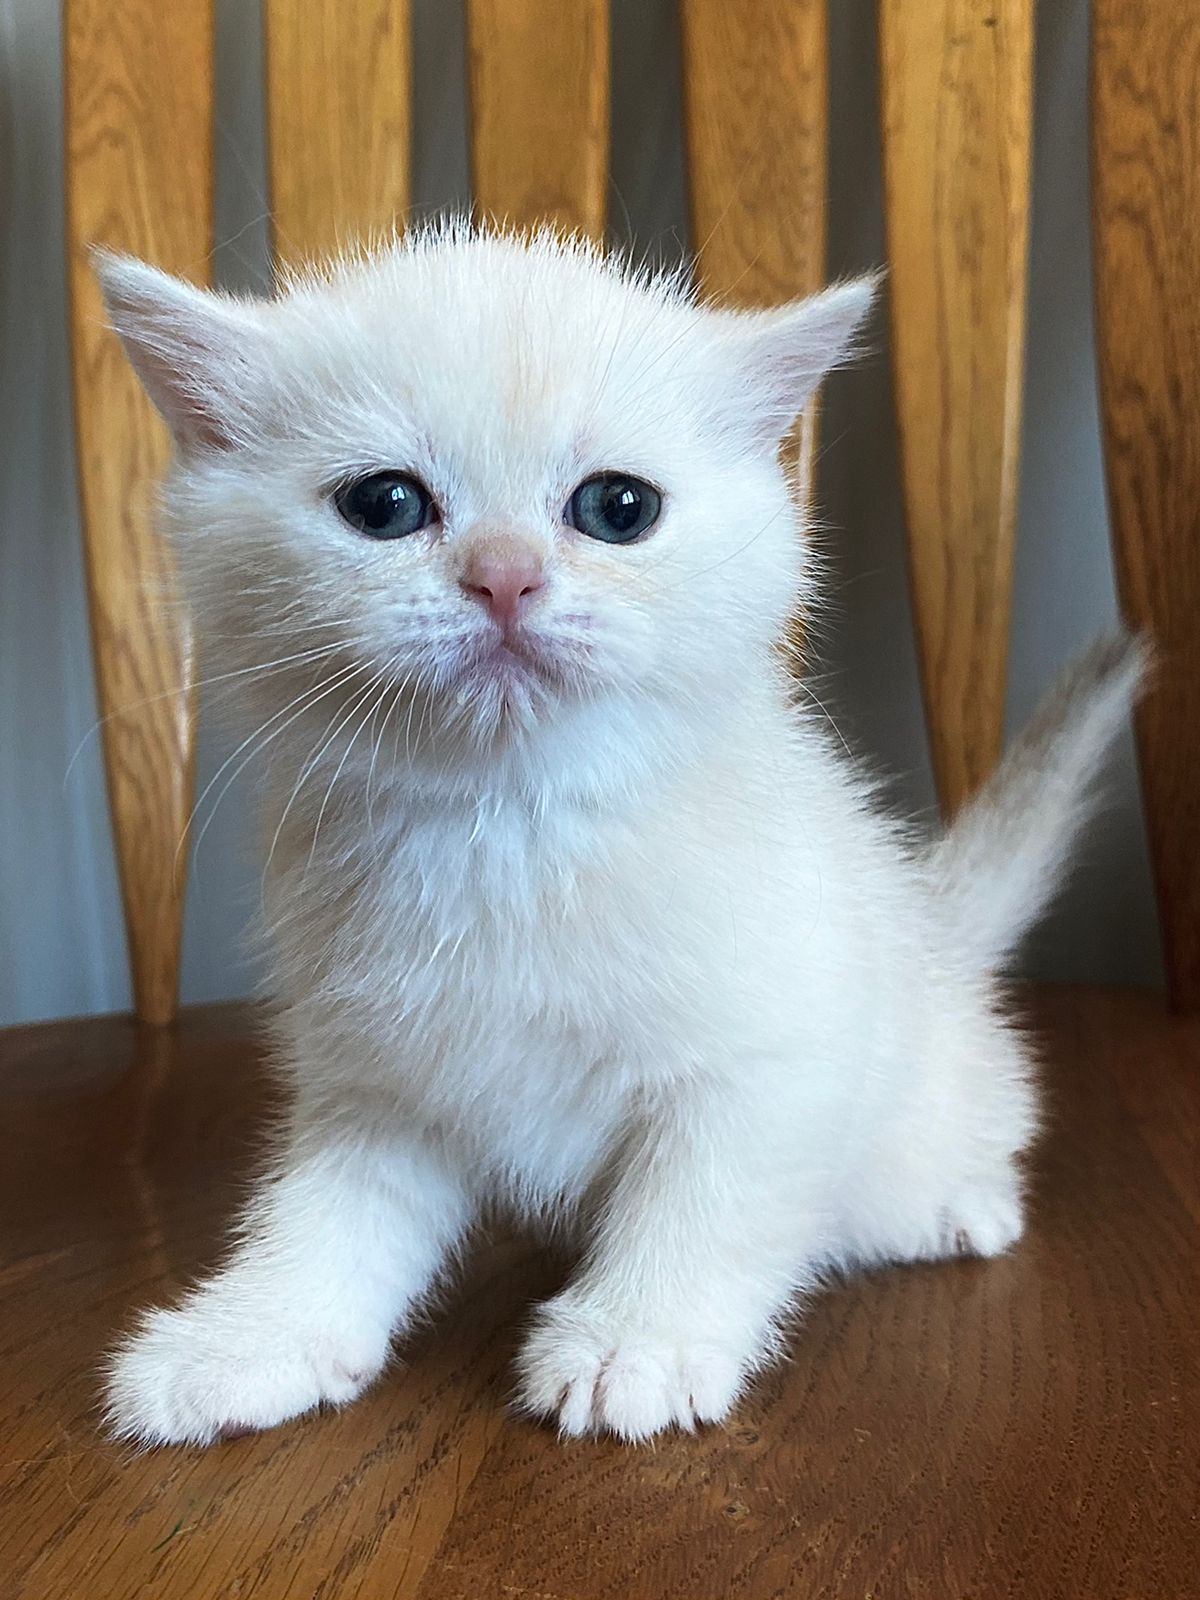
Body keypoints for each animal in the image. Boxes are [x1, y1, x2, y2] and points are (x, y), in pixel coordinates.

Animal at [98, 228, 1139, 1452]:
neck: (505, 831)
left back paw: (957, 1201)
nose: (505, 575)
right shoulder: (379, 1083)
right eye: (386, 503)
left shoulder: (772, 1054)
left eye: (617, 507)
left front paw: (636, 1339)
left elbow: (702, 1199)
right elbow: (327, 1218)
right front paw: (250, 1337)